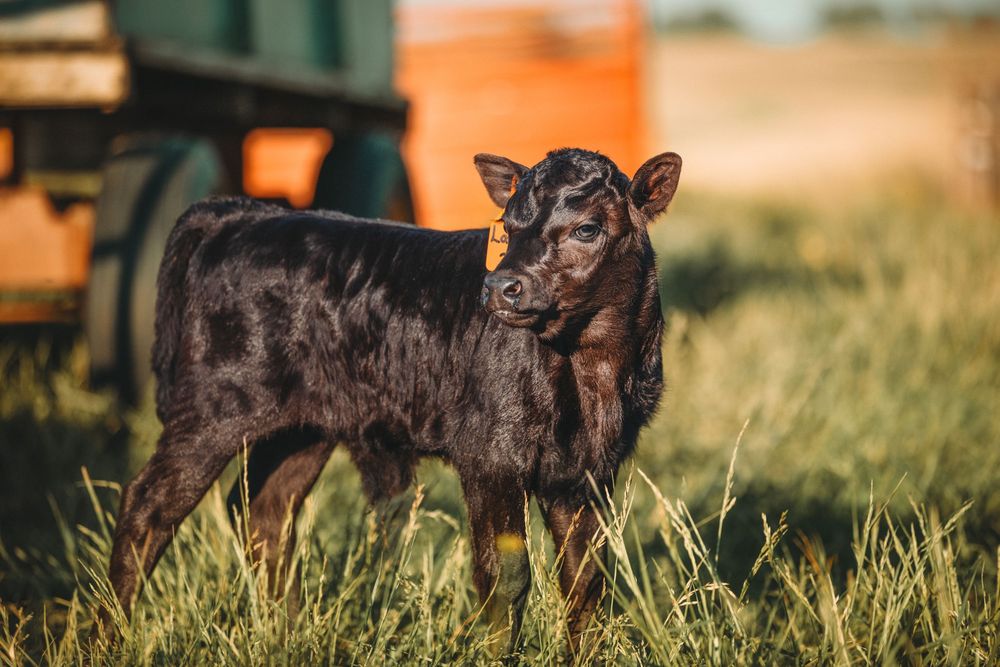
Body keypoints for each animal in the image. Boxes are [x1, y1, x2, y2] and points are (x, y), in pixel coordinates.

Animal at [99, 147, 682, 652]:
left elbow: (586, 581)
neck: (592, 373)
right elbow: (507, 578)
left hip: (301, 429)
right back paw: (110, 639)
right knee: (146, 507)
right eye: (508, 228)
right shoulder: (490, 456)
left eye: (587, 229)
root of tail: (239, 214)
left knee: (266, 513)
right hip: (214, 407)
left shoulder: (587, 473)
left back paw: (288, 635)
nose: (500, 287)